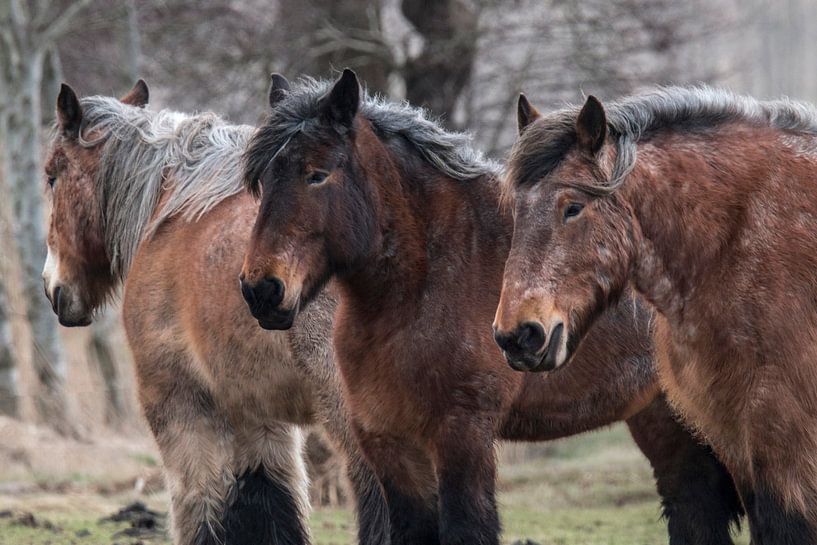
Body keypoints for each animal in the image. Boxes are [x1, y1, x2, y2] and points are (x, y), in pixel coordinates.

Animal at [39, 79, 390, 544]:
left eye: (52, 176)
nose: (53, 288)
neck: (169, 207)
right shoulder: (256, 418)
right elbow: (269, 507)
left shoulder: (178, 401)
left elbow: (201, 505)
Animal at [239, 71, 744, 544]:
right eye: (263, 179)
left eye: (317, 173)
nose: (262, 289)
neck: (423, 286)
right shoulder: (388, 440)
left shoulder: (462, 435)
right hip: (661, 419)